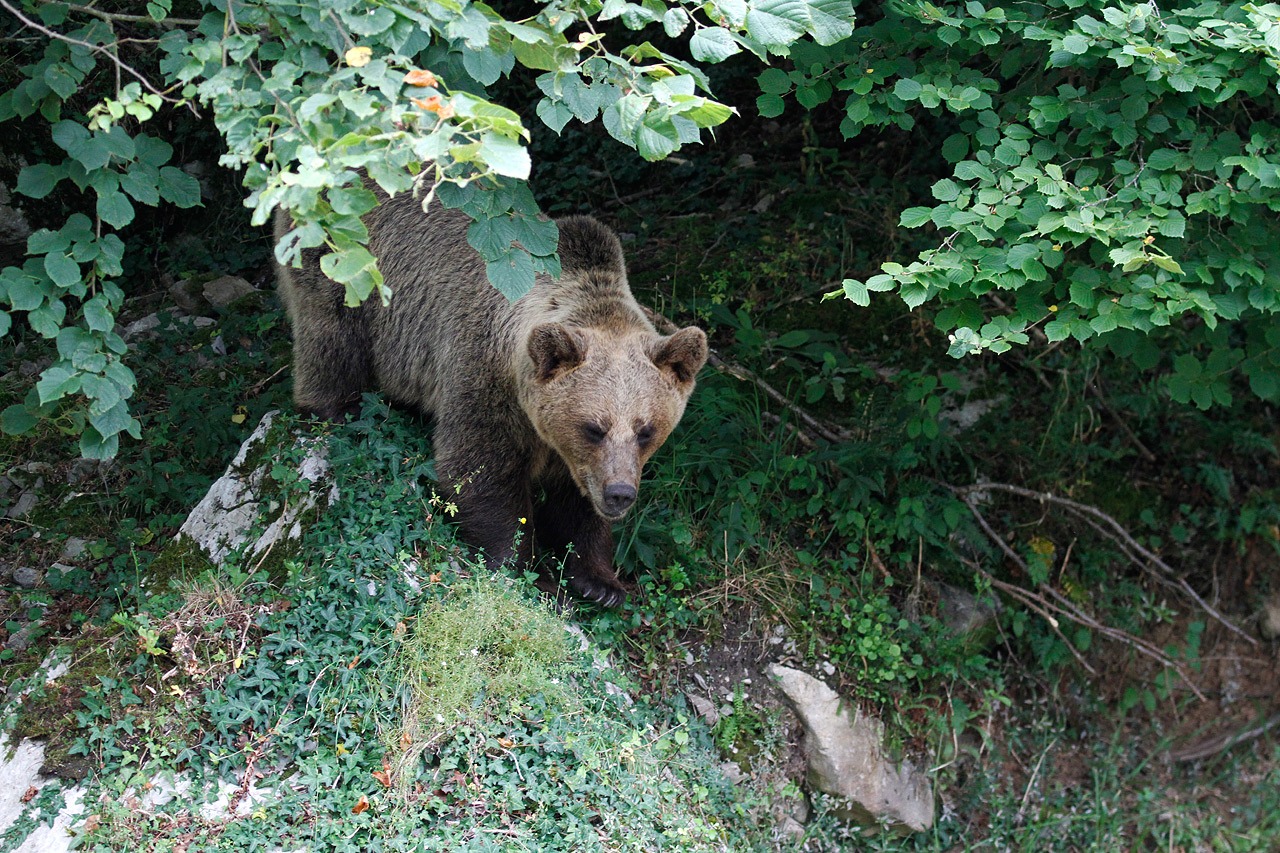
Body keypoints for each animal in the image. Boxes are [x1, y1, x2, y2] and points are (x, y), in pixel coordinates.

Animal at [275, 184, 711, 604]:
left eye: (646, 430)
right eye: (593, 427)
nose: (620, 494)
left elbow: (575, 499)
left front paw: (601, 583)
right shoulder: (483, 375)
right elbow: (480, 470)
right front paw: (529, 572)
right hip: (345, 267)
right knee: (331, 337)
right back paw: (334, 409)